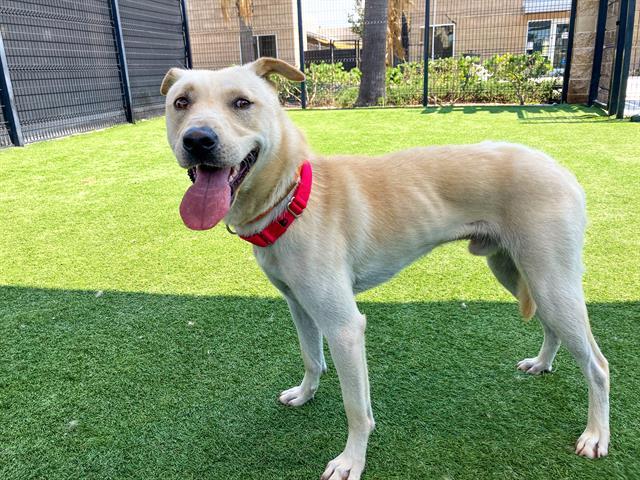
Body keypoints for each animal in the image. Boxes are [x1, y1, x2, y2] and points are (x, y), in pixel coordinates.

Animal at [160, 58, 608, 478]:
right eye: (181, 103)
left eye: (242, 103)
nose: (198, 139)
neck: (293, 198)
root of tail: (561, 169)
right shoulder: (299, 306)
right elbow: (310, 358)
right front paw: (305, 395)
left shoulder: (344, 327)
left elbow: (356, 409)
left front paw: (351, 461)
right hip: (516, 272)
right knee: (553, 328)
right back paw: (542, 364)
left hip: (551, 281)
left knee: (598, 365)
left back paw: (595, 435)